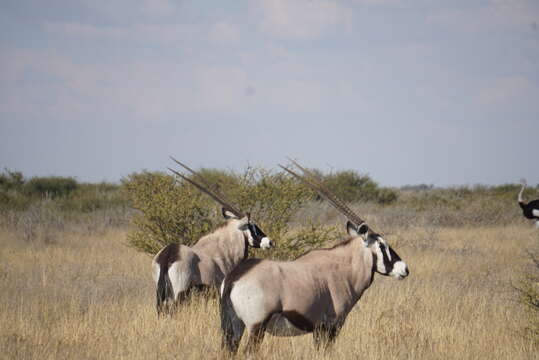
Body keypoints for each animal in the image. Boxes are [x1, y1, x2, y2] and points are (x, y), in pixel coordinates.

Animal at [152, 160, 274, 316]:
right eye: (252, 226)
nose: (269, 242)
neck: (224, 247)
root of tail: (167, 256)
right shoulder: (218, 289)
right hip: (178, 295)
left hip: (160, 294)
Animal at [219, 161, 410, 354]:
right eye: (382, 245)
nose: (405, 269)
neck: (343, 268)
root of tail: (234, 279)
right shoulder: (331, 326)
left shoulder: (318, 329)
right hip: (256, 327)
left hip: (234, 327)